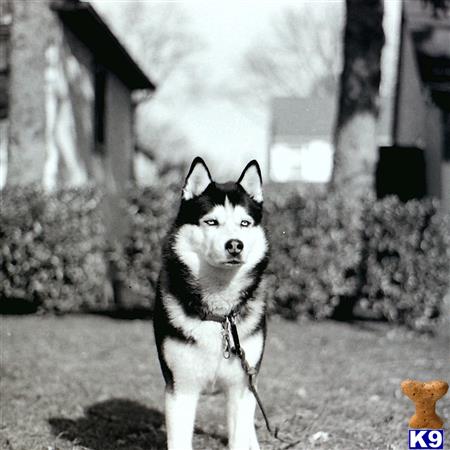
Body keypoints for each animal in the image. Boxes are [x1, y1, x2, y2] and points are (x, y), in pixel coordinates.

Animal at [153, 157, 268, 450]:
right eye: (212, 222)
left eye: (244, 223)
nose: (235, 245)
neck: (220, 315)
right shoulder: (180, 387)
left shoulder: (241, 388)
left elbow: (239, 436)